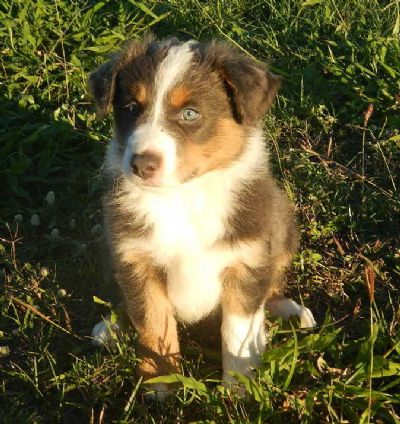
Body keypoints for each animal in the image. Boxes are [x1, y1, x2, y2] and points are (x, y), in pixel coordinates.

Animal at [88, 36, 316, 398]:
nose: (141, 164)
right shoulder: (136, 260)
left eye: (190, 113)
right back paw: (111, 328)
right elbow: (153, 324)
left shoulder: (247, 260)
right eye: (132, 109)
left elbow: (236, 332)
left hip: (282, 232)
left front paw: (239, 391)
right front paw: (161, 384)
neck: (182, 198)